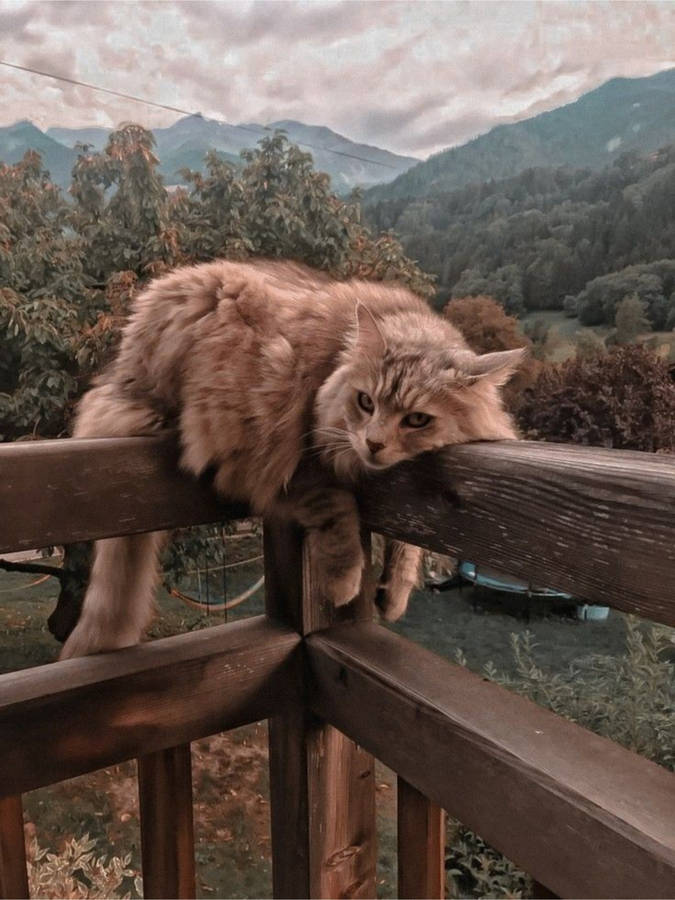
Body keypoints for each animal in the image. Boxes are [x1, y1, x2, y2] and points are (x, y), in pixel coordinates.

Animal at [59, 256, 524, 656]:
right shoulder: (291, 462)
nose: (373, 443)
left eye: (417, 420)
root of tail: (122, 372)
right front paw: (343, 584)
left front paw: (394, 592)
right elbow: (340, 513)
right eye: (366, 403)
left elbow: (408, 543)